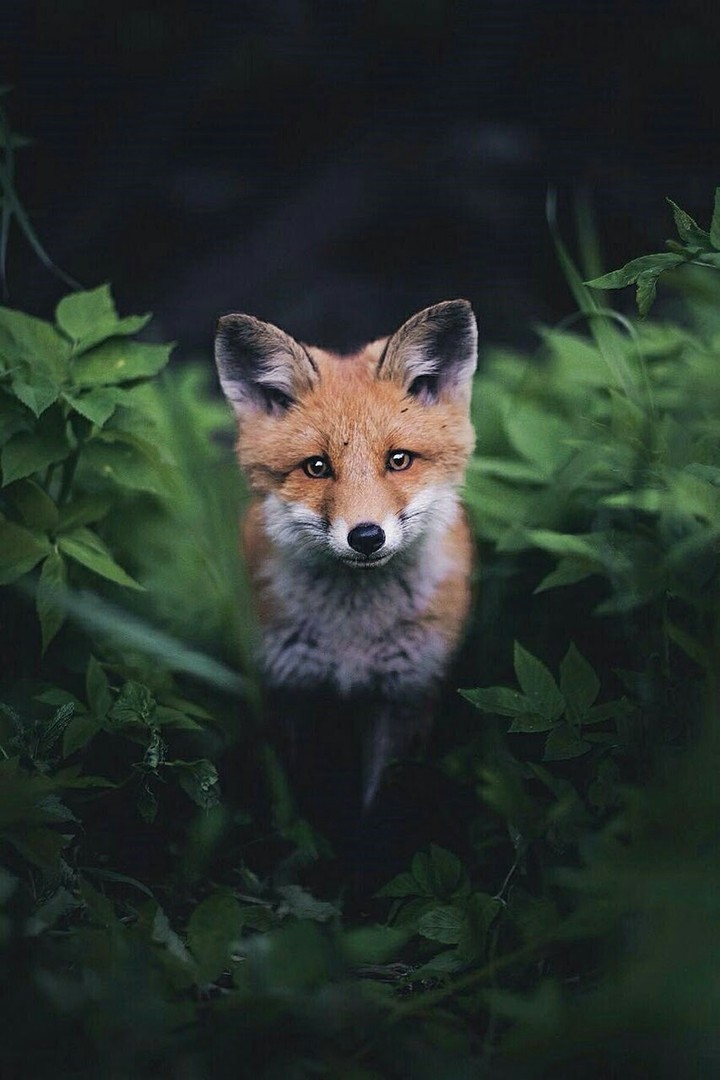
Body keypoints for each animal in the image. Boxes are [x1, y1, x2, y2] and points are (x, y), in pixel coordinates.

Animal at [215, 299, 477, 822]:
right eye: (317, 467)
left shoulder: (405, 695)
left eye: (399, 460)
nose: (367, 537)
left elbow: (378, 806)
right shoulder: (292, 690)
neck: (354, 638)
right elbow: (302, 804)